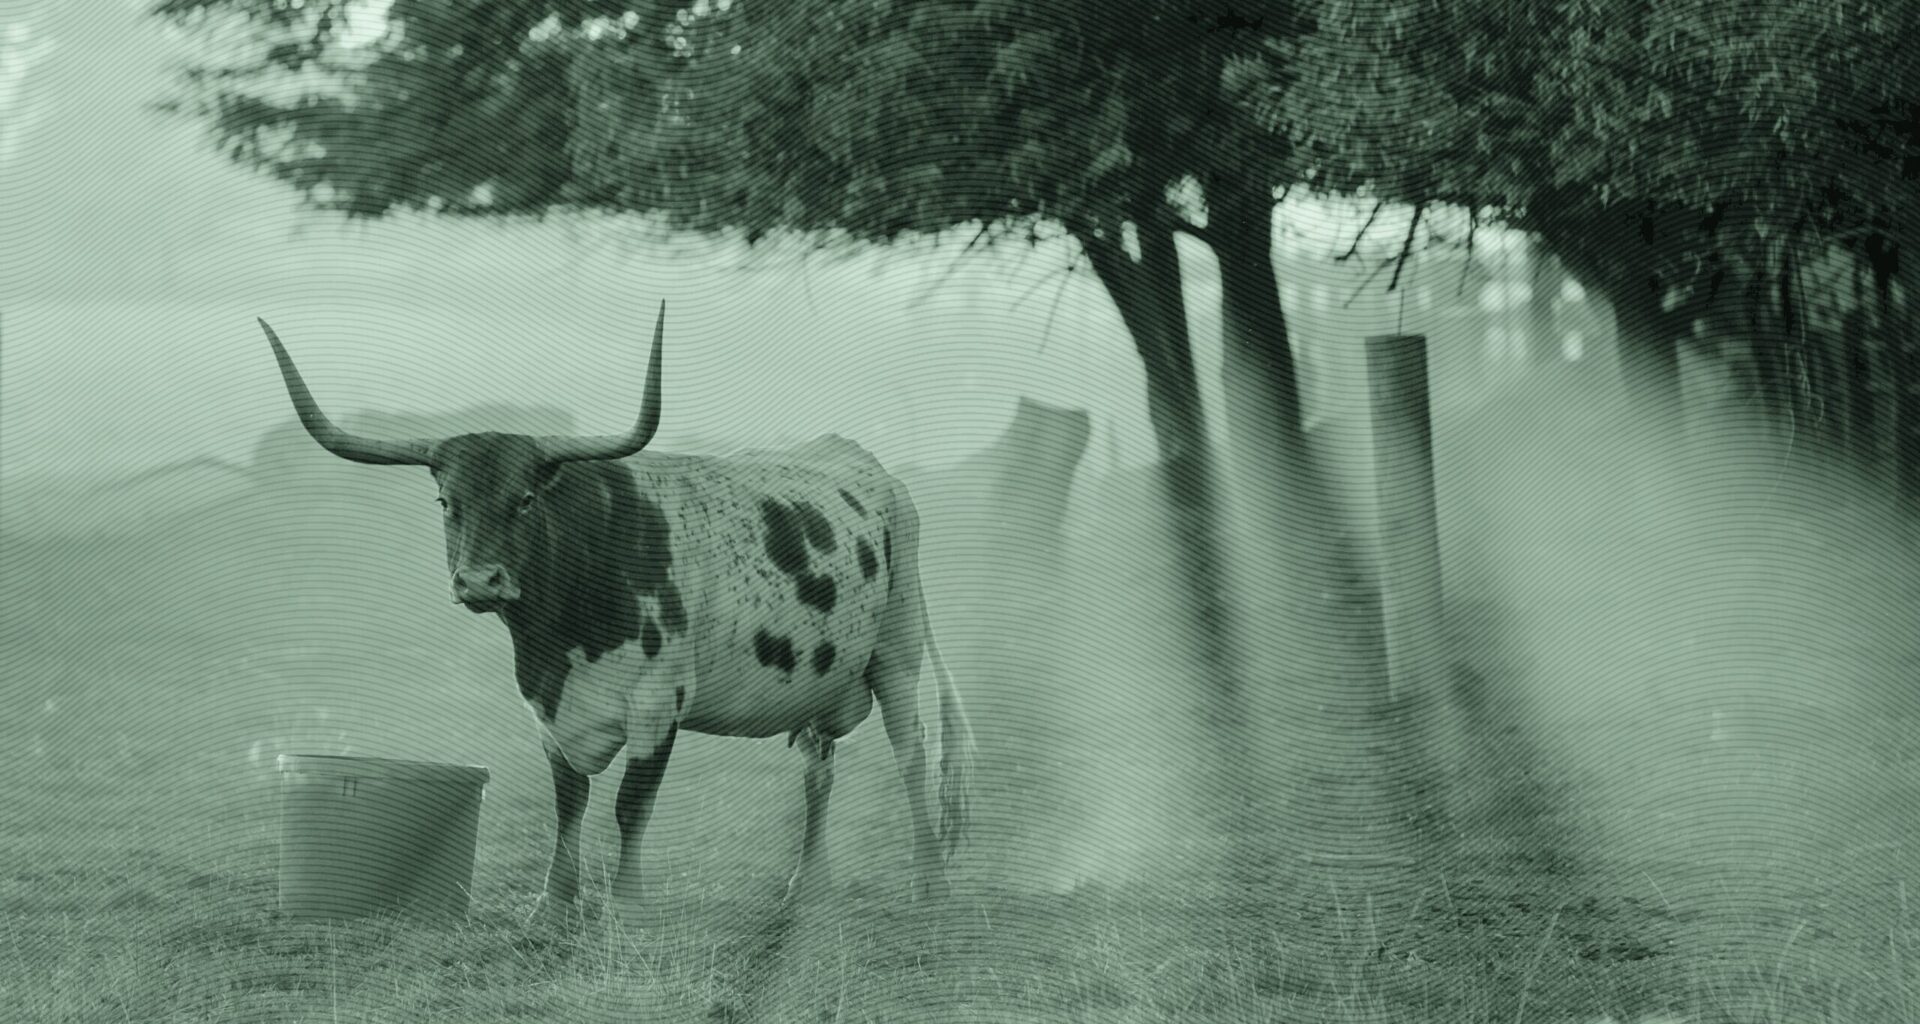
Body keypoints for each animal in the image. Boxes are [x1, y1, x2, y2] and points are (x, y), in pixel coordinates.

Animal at [257, 304, 975, 925]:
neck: (560, 631)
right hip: (819, 680)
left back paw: (932, 885)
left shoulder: (659, 703)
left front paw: (627, 909)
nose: (479, 581)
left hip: (897, 649)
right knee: (818, 769)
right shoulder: (548, 708)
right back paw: (809, 887)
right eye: (445, 501)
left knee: (911, 755)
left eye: (524, 498)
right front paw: (552, 906)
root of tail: (873, 469)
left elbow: (632, 805)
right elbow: (569, 802)